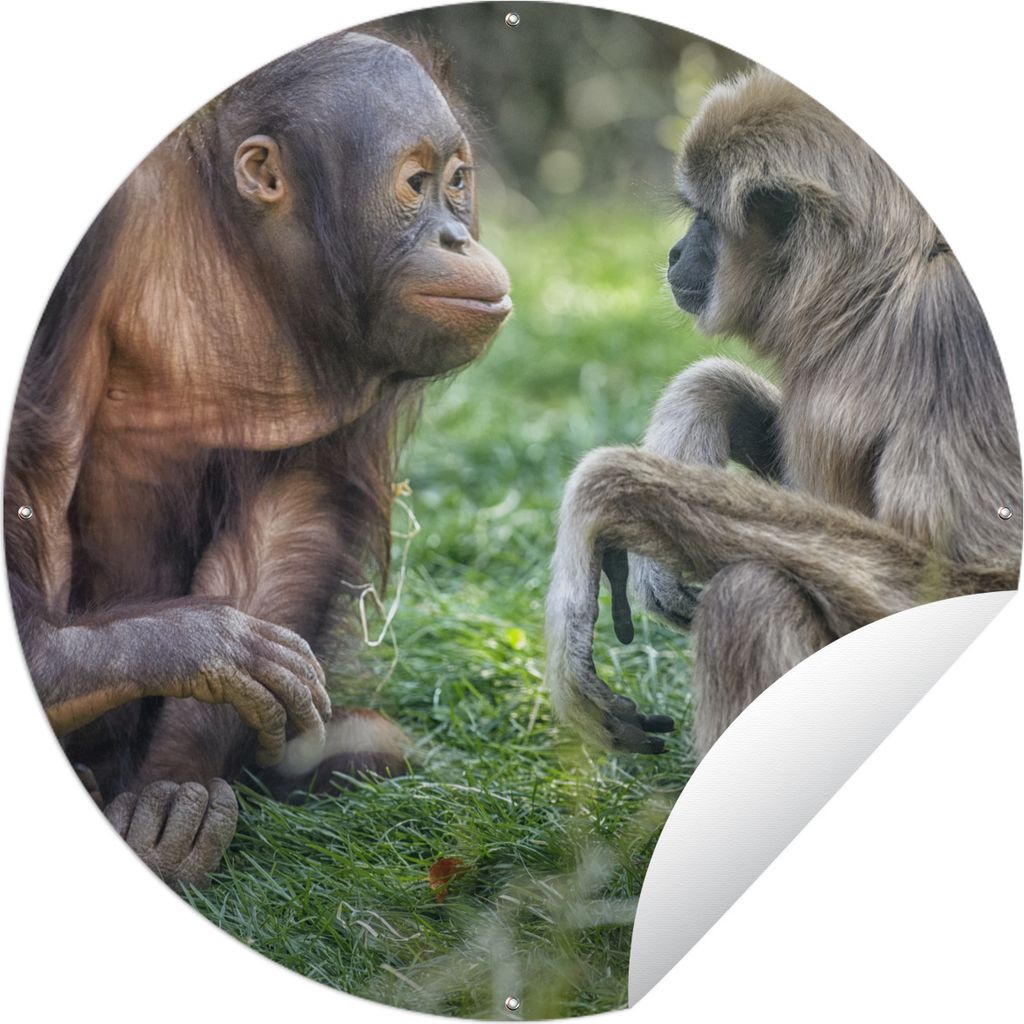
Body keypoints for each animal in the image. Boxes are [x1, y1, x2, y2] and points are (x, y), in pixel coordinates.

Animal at [4, 31, 511, 887]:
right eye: (415, 184)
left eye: (457, 182)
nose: (458, 236)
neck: (237, 242)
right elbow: (39, 453)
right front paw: (173, 647)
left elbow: (296, 502)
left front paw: (176, 784)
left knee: (379, 744)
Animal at [545, 67, 1021, 759]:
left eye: (705, 220)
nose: (675, 253)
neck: (879, 295)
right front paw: (695, 413)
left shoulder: (953, 324)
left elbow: (977, 579)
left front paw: (608, 496)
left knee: (751, 594)